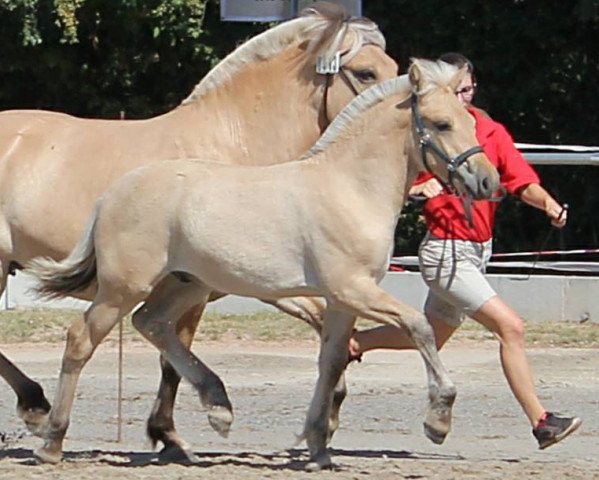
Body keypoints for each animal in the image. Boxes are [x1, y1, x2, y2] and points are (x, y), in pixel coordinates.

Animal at [29, 59, 502, 468]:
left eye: (469, 121)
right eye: (441, 124)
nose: (487, 181)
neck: (349, 189)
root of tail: (113, 192)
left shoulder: (341, 300)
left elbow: (331, 360)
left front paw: (317, 446)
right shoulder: (353, 288)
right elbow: (418, 327)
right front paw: (438, 419)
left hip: (187, 283)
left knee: (153, 324)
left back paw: (218, 407)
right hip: (123, 288)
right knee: (81, 340)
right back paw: (52, 440)